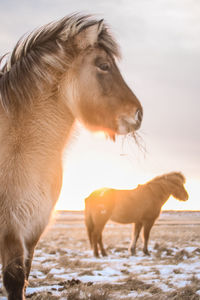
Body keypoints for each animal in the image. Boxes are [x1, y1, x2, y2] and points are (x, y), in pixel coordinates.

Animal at [0, 14, 144, 300]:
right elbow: (14, 279)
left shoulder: (33, 227)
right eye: (103, 65)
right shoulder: (11, 225)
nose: (138, 114)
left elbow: (23, 276)